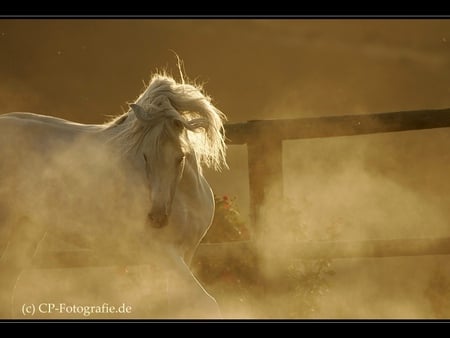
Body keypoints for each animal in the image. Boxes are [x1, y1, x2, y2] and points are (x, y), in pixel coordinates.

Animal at [0, 73, 227, 316]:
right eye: (145, 156)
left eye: (180, 157)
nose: (157, 218)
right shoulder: (162, 253)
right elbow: (206, 302)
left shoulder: (187, 252)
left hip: (27, 229)